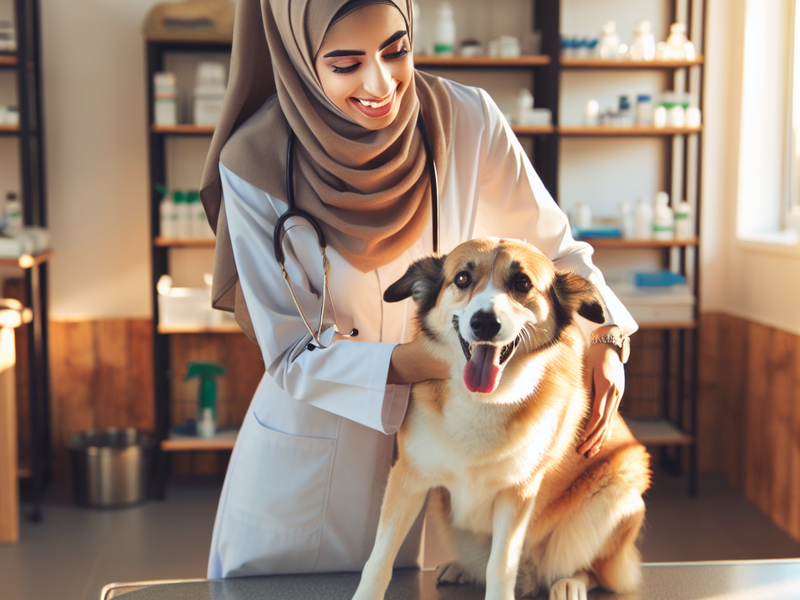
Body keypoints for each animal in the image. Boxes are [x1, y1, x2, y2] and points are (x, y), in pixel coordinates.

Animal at [352, 238, 648, 600]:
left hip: (620, 487)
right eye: (462, 279)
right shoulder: (408, 478)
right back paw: (462, 568)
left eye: (522, 283)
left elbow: (501, 566)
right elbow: (379, 560)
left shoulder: (517, 493)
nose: (484, 323)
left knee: (592, 569)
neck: (483, 399)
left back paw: (570, 583)